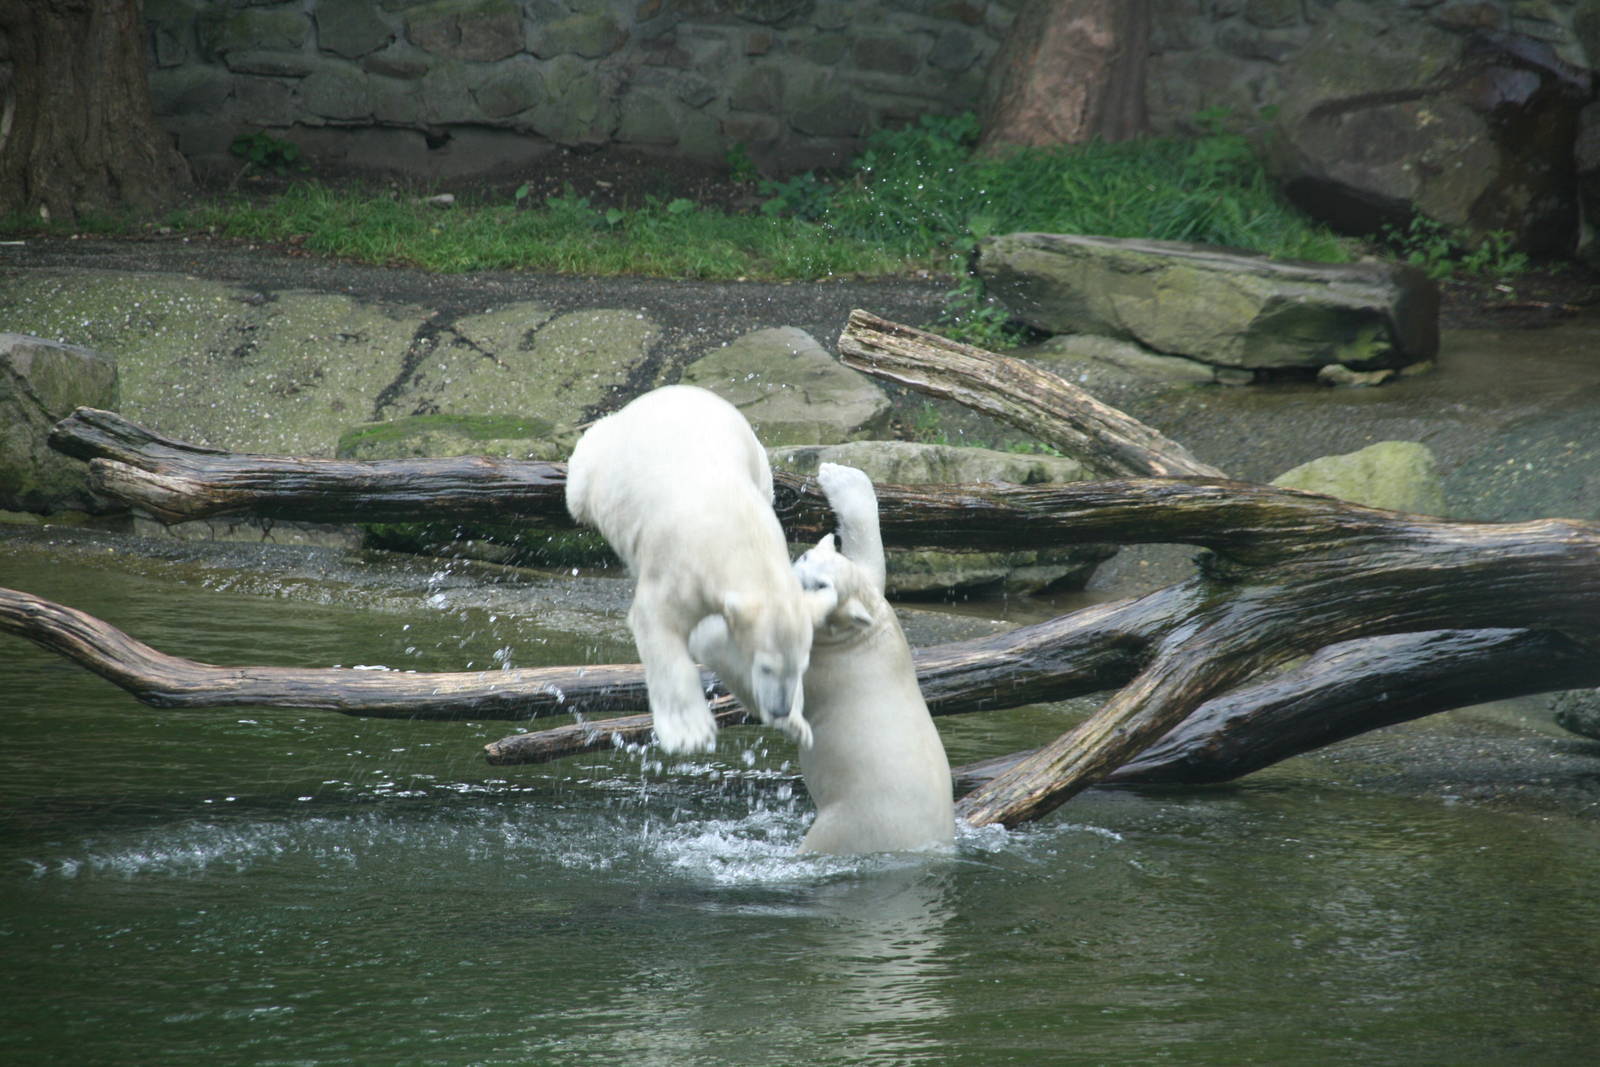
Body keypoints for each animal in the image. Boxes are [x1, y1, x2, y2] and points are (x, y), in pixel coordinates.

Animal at [565, 385, 825, 754]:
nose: (780, 708)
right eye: (766, 666)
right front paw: (689, 732)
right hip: (600, 463)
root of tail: (672, 390)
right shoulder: (678, 567)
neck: (739, 535)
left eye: (802, 666)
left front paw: (795, 724)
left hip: (759, 462)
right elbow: (657, 622)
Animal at [789, 463, 956, 854]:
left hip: (851, 823)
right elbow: (871, 561)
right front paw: (840, 474)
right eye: (804, 557)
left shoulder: (825, 663)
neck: (860, 635)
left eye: (821, 585)